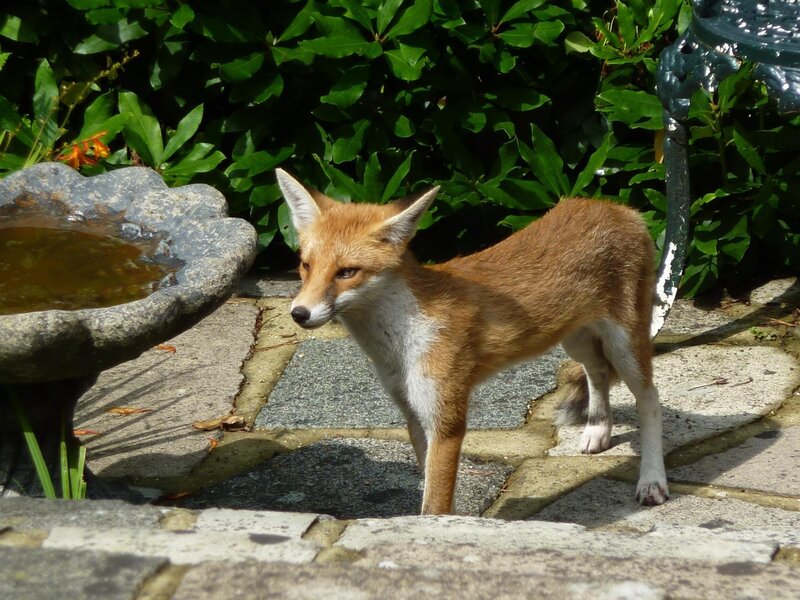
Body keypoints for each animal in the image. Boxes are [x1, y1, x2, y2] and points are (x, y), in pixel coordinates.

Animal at [275, 167, 669, 515]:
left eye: (347, 272)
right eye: (306, 265)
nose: (299, 313)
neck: (399, 342)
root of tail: (617, 208)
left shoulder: (446, 421)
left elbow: (434, 504)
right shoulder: (414, 414)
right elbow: (433, 491)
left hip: (625, 343)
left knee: (650, 399)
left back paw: (652, 480)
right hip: (574, 339)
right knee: (597, 372)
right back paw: (597, 429)